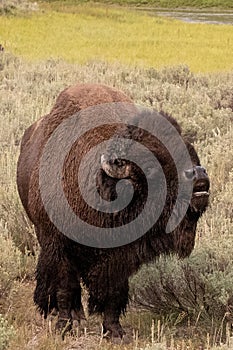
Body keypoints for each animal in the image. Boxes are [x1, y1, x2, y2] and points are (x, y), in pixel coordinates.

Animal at [16, 84, 209, 342]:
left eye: (190, 153)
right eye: (150, 167)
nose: (199, 178)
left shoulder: (120, 257)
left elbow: (115, 292)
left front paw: (114, 332)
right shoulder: (58, 245)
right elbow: (65, 286)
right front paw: (64, 327)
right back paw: (74, 317)